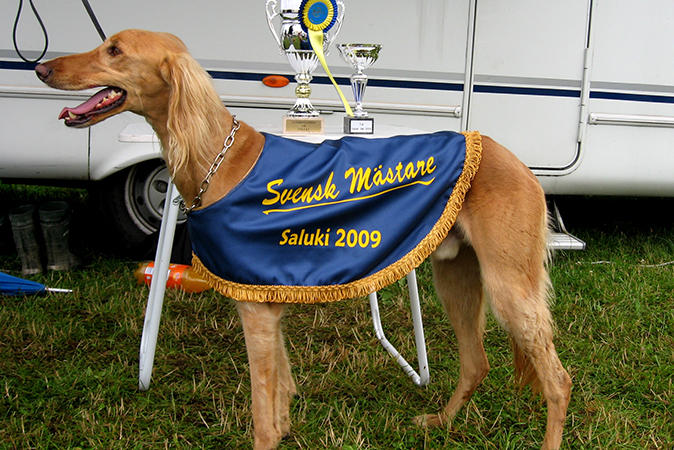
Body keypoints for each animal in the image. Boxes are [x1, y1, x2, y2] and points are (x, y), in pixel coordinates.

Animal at [36, 29, 568, 448]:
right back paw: (440, 421)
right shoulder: (265, 303)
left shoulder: (254, 310)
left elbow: (262, 422)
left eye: (114, 50)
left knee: (558, 381)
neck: (221, 162)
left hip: (508, 287)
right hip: (456, 279)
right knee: (477, 363)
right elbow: (280, 401)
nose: (41, 66)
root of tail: (521, 164)